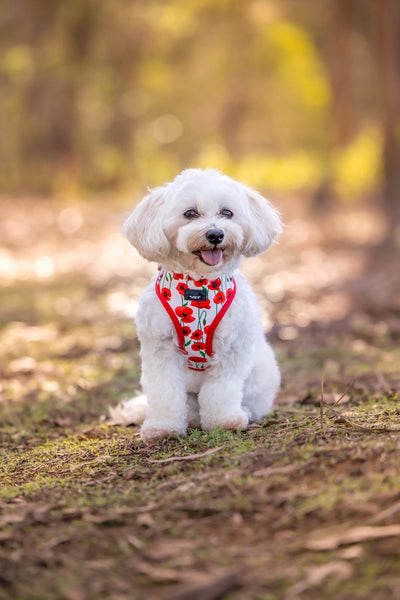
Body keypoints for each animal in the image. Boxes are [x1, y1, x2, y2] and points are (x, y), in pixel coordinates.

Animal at [111, 169, 282, 446]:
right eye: (190, 213)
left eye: (227, 213)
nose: (215, 235)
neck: (197, 285)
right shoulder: (161, 350)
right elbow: (165, 392)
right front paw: (162, 428)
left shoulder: (231, 350)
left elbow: (221, 391)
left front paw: (224, 421)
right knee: (188, 407)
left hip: (262, 375)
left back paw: (242, 413)